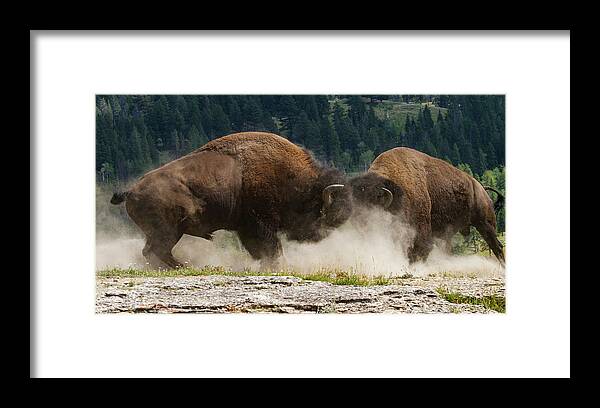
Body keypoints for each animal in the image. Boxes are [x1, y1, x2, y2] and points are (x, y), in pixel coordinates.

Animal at [110, 132, 352, 270]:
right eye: (319, 212)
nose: (318, 237)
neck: (291, 177)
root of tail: (131, 191)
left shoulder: (246, 227)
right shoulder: (258, 224)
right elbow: (271, 246)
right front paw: (277, 265)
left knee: (151, 251)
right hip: (169, 230)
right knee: (156, 250)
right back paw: (185, 267)